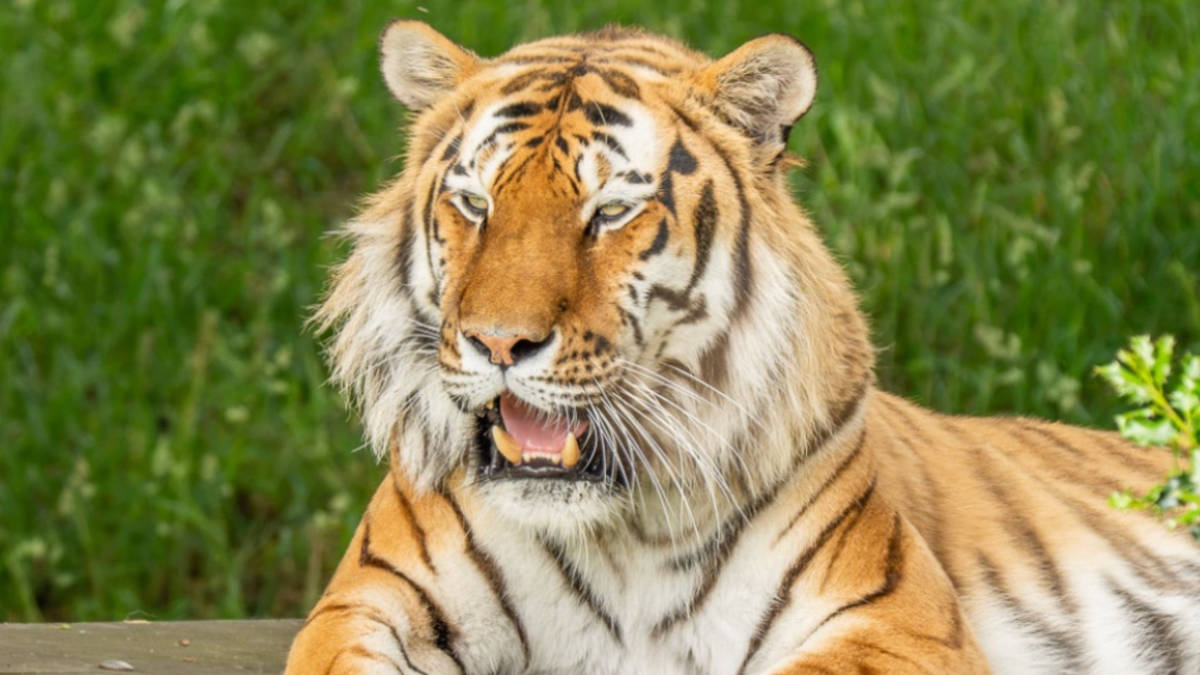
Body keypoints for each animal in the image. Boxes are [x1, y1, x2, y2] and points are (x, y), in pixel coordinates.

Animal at [285, 20, 1200, 675]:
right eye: (475, 202)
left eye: (610, 211)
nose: (498, 341)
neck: (618, 529)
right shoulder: (365, 601)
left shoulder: (896, 620)